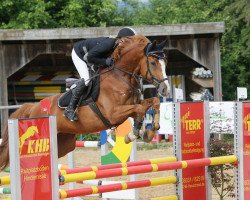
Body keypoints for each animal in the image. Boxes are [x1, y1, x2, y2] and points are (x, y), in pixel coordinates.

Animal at [0, 34, 170, 170]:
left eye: (165, 63)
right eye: (153, 63)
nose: (165, 90)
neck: (121, 76)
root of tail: (33, 107)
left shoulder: (134, 104)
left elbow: (153, 102)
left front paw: (150, 130)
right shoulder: (113, 113)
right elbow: (140, 109)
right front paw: (135, 134)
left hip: (65, 143)